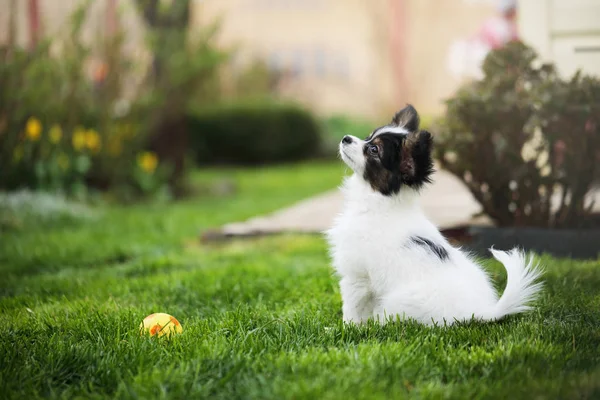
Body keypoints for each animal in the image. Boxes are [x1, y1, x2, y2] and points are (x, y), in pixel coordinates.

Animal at [328, 105, 544, 324]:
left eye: (373, 150)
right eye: (367, 137)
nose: (346, 138)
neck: (379, 202)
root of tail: (483, 312)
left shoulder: (357, 276)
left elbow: (353, 309)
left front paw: (349, 327)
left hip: (395, 301)